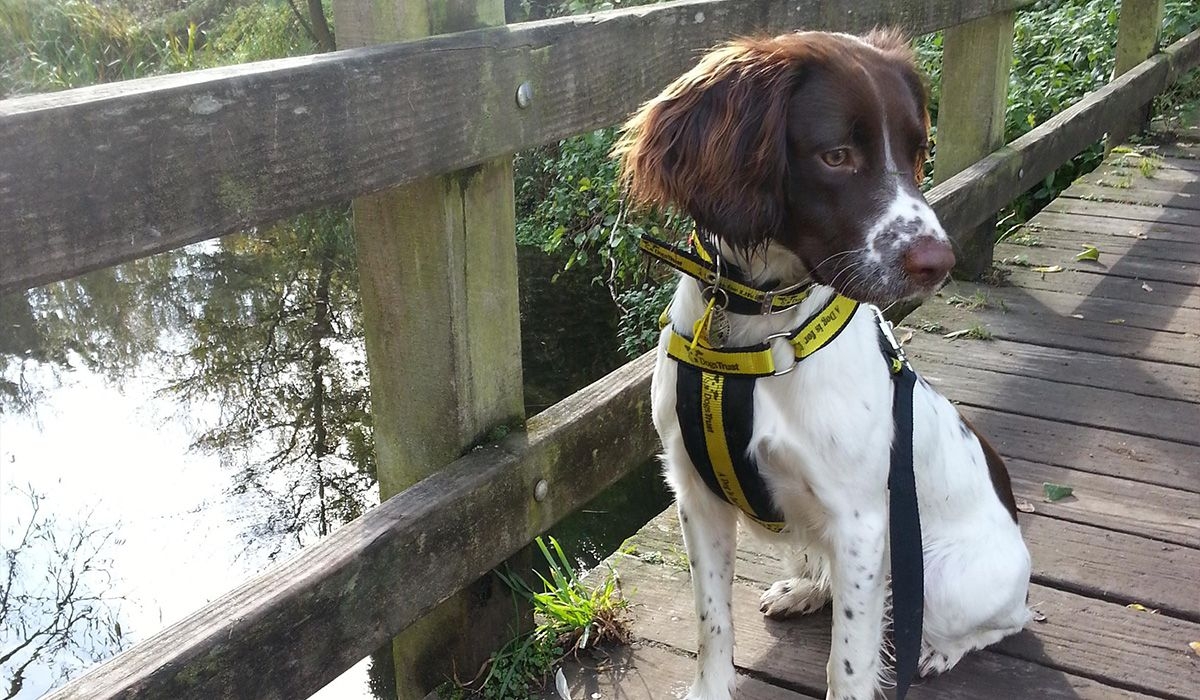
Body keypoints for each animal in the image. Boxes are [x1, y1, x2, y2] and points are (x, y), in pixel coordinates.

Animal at [619, 28, 1032, 700]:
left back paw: (939, 651)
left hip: (941, 576)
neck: (753, 329)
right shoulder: (696, 494)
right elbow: (711, 620)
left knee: (1009, 618)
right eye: (836, 156)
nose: (940, 261)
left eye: (919, 152)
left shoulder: (861, 524)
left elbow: (849, 662)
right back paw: (803, 590)